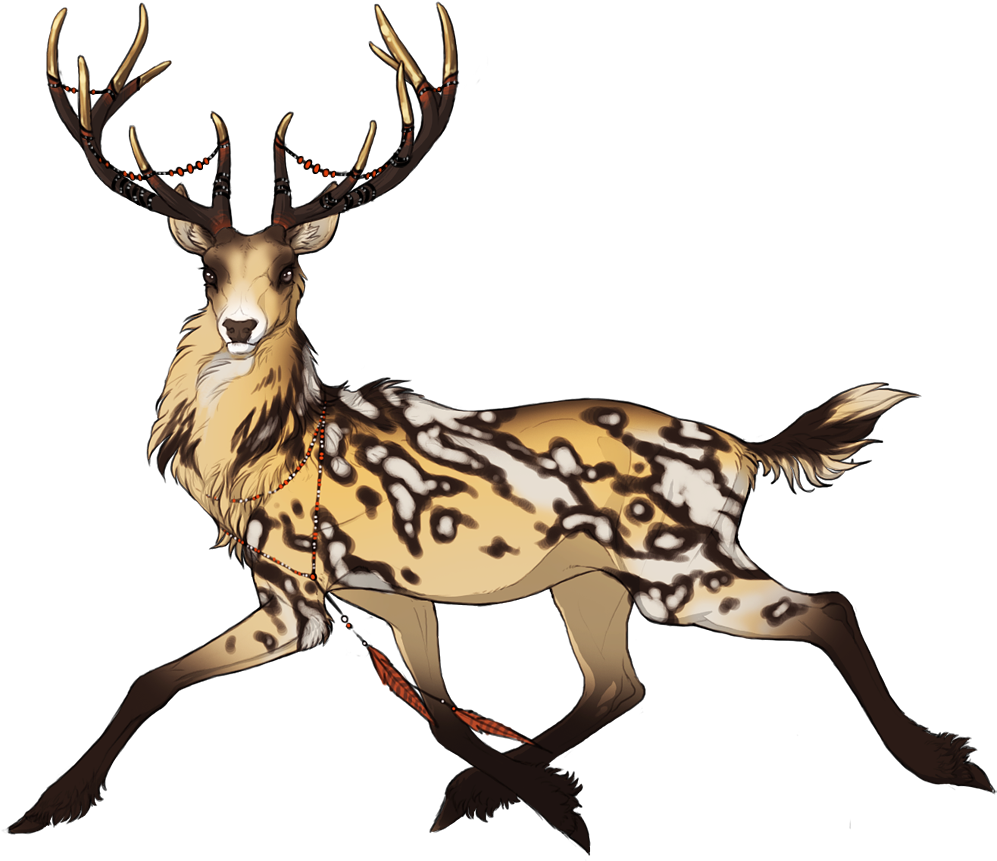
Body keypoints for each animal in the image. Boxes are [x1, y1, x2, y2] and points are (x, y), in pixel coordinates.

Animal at [13, 2, 990, 847]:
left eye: (289, 269)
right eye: (210, 271)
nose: (241, 327)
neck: (271, 453)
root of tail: (741, 451)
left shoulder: (386, 588)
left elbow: (442, 718)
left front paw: (546, 805)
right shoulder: (296, 599)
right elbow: (154, 675)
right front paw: (49, 804)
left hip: (683, 567)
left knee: (824, 607)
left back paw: (940, 762)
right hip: (591, 580)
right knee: (618, 682)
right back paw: (490, 792)